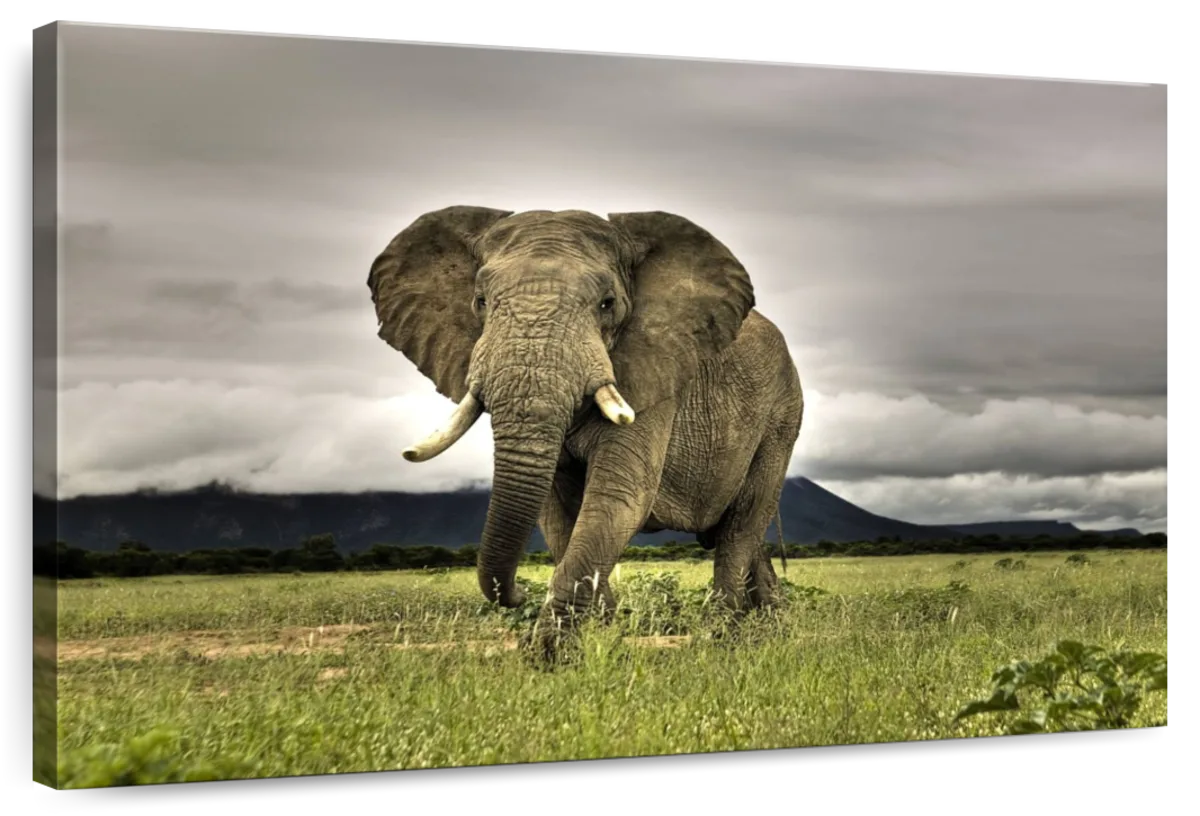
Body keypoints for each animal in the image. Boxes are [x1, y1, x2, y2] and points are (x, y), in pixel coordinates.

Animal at [367, 206, 804, 660]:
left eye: (606, 304)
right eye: (481, 301)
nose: (517, 595)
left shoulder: (654, 372)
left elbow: (618, 496)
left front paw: (550, 655)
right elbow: (557, 513)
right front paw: (600, 634)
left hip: (782, 416)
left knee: (742, 524)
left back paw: (722, 641)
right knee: (739, 534)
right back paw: (770, 630)